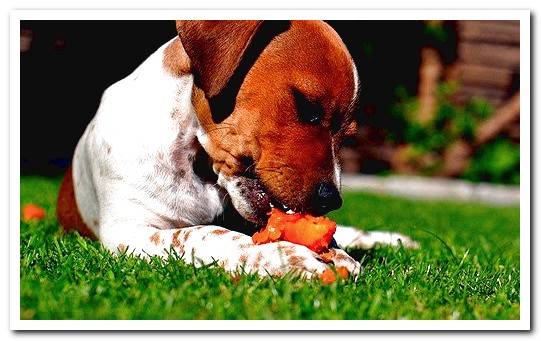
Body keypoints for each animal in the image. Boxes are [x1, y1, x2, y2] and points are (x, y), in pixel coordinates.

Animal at [56, 19, 418, 278]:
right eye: (308, 108)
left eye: (347, 135)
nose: (332, 200)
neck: (198, 166)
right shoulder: (130, 233)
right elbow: (204, 234)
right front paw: (290, 257)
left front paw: (336, 252)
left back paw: (394, 239)